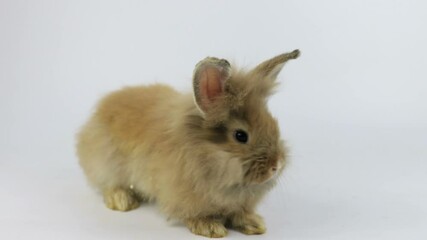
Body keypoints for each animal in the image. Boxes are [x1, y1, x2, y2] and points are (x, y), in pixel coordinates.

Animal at [76, 49, 300, 238]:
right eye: (240, 136)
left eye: (273, 124)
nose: (276, 165)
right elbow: (195, 215)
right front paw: (210, 228)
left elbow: (239, 213)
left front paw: (254, 224)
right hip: (106, 165)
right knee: (108, 184)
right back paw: (123, 201)